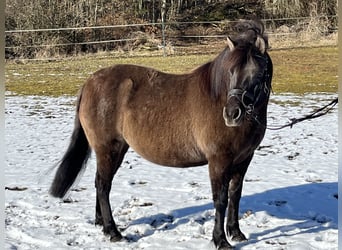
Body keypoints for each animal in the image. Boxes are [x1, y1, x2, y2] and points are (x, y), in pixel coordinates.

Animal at [50, 18, 272, 249]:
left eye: (257, 74)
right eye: (230, 72)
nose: (231, 114)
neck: (216, 96)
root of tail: (89, 83)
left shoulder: (243, 159)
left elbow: (235, 195)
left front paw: (235, 232)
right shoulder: (219, 161)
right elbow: (220, 199)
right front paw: (220, 240)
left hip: (115, 150)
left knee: (100, 182)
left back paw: (101, 223)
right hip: (108, 149)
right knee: (103, 185)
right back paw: (113, 231)